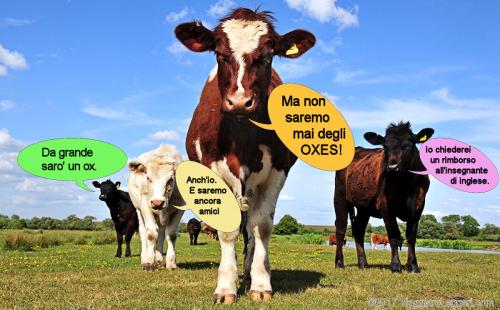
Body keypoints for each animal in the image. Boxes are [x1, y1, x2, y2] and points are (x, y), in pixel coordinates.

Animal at [176, 7, 314, 306]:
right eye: (219, 53)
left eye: (268, 54)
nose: (240, 102)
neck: (242, 139)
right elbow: (228, 229)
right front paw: (225, 287)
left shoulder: (277, 173)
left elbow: (260, 227)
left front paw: (260, 283)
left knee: (251, 227)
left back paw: (251, 269)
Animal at [336, 121, 434, 272]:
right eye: (385, 146)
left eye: (408, 145)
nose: (392, 167)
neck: (405, 185)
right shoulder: (386, 207)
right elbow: (393, 236)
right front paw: (395, 265)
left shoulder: (418, 206)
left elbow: (411, 237)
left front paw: (413, 265)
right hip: (340, 197)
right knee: (341, 229)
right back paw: (339, 263)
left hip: (364, 207)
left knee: (358, 230)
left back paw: (363, 263)